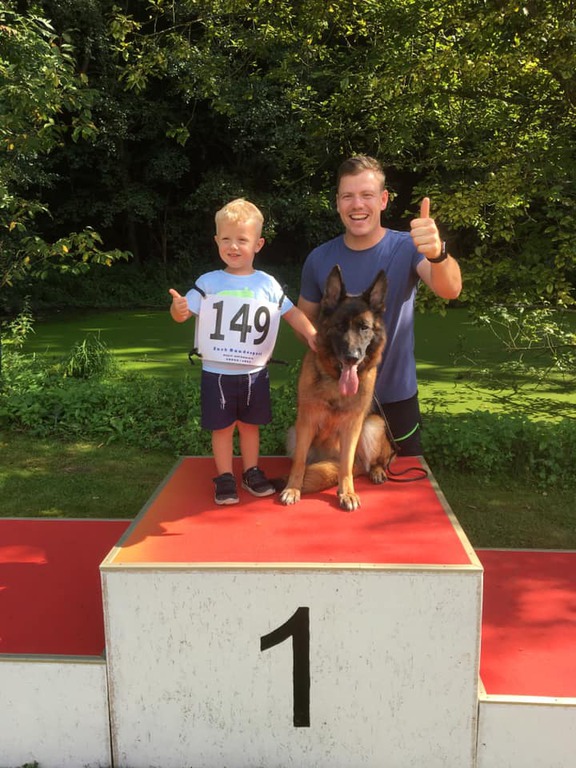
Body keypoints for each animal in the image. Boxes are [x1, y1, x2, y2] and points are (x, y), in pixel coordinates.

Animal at [280, 265, 395, 511]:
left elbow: (345, 465)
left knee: (369, 462)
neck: (335, 380)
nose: (352, 357)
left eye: (364, 328)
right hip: (293, 433)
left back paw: (377, 470)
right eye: (340, 327)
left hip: (374, 424)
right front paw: (293, 488)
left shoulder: (352, 426)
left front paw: (347, 493)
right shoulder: (306, 422)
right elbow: (299, 462)